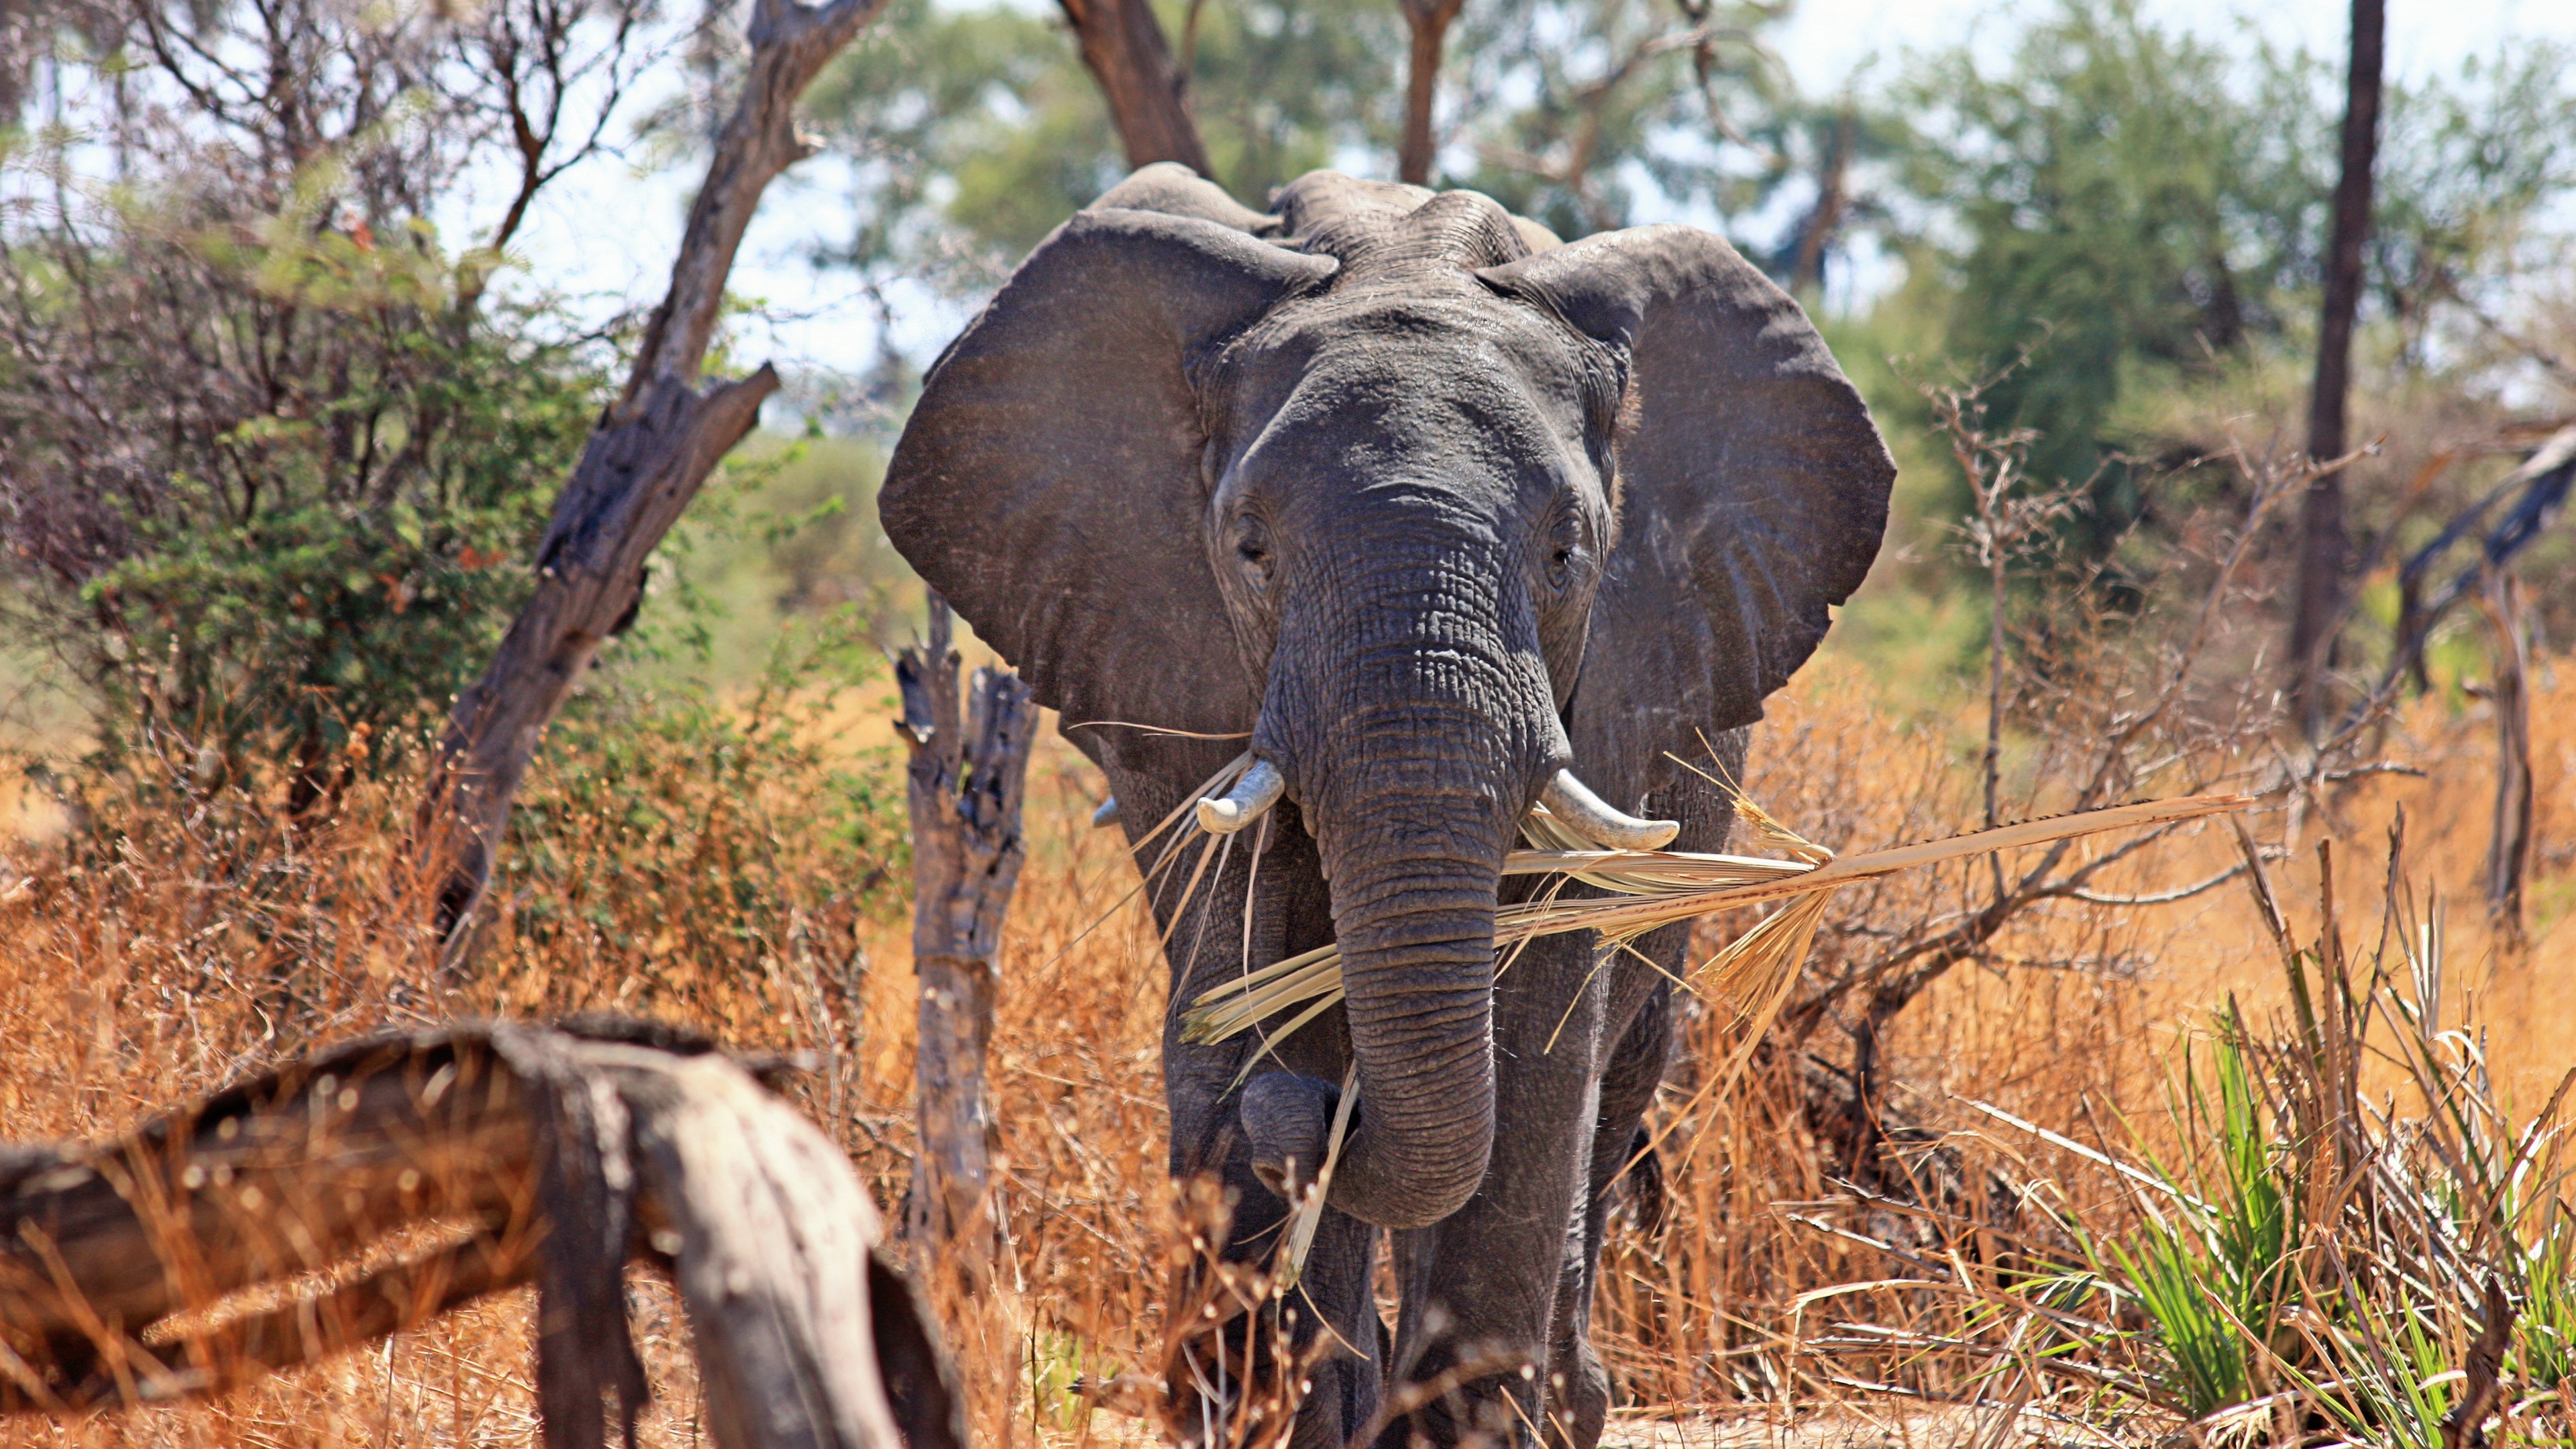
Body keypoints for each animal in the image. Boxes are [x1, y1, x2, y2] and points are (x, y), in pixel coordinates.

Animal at [881, 164, 1896, 1433]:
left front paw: (1452, 1425)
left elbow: (1537, 1029)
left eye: (1568, 552)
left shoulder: (1617, 675)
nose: (1319, 1115)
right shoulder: (1172, 659)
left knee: (1620, 1071)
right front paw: (1279, 1404)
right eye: (1250, 547)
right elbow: (1244, 975)